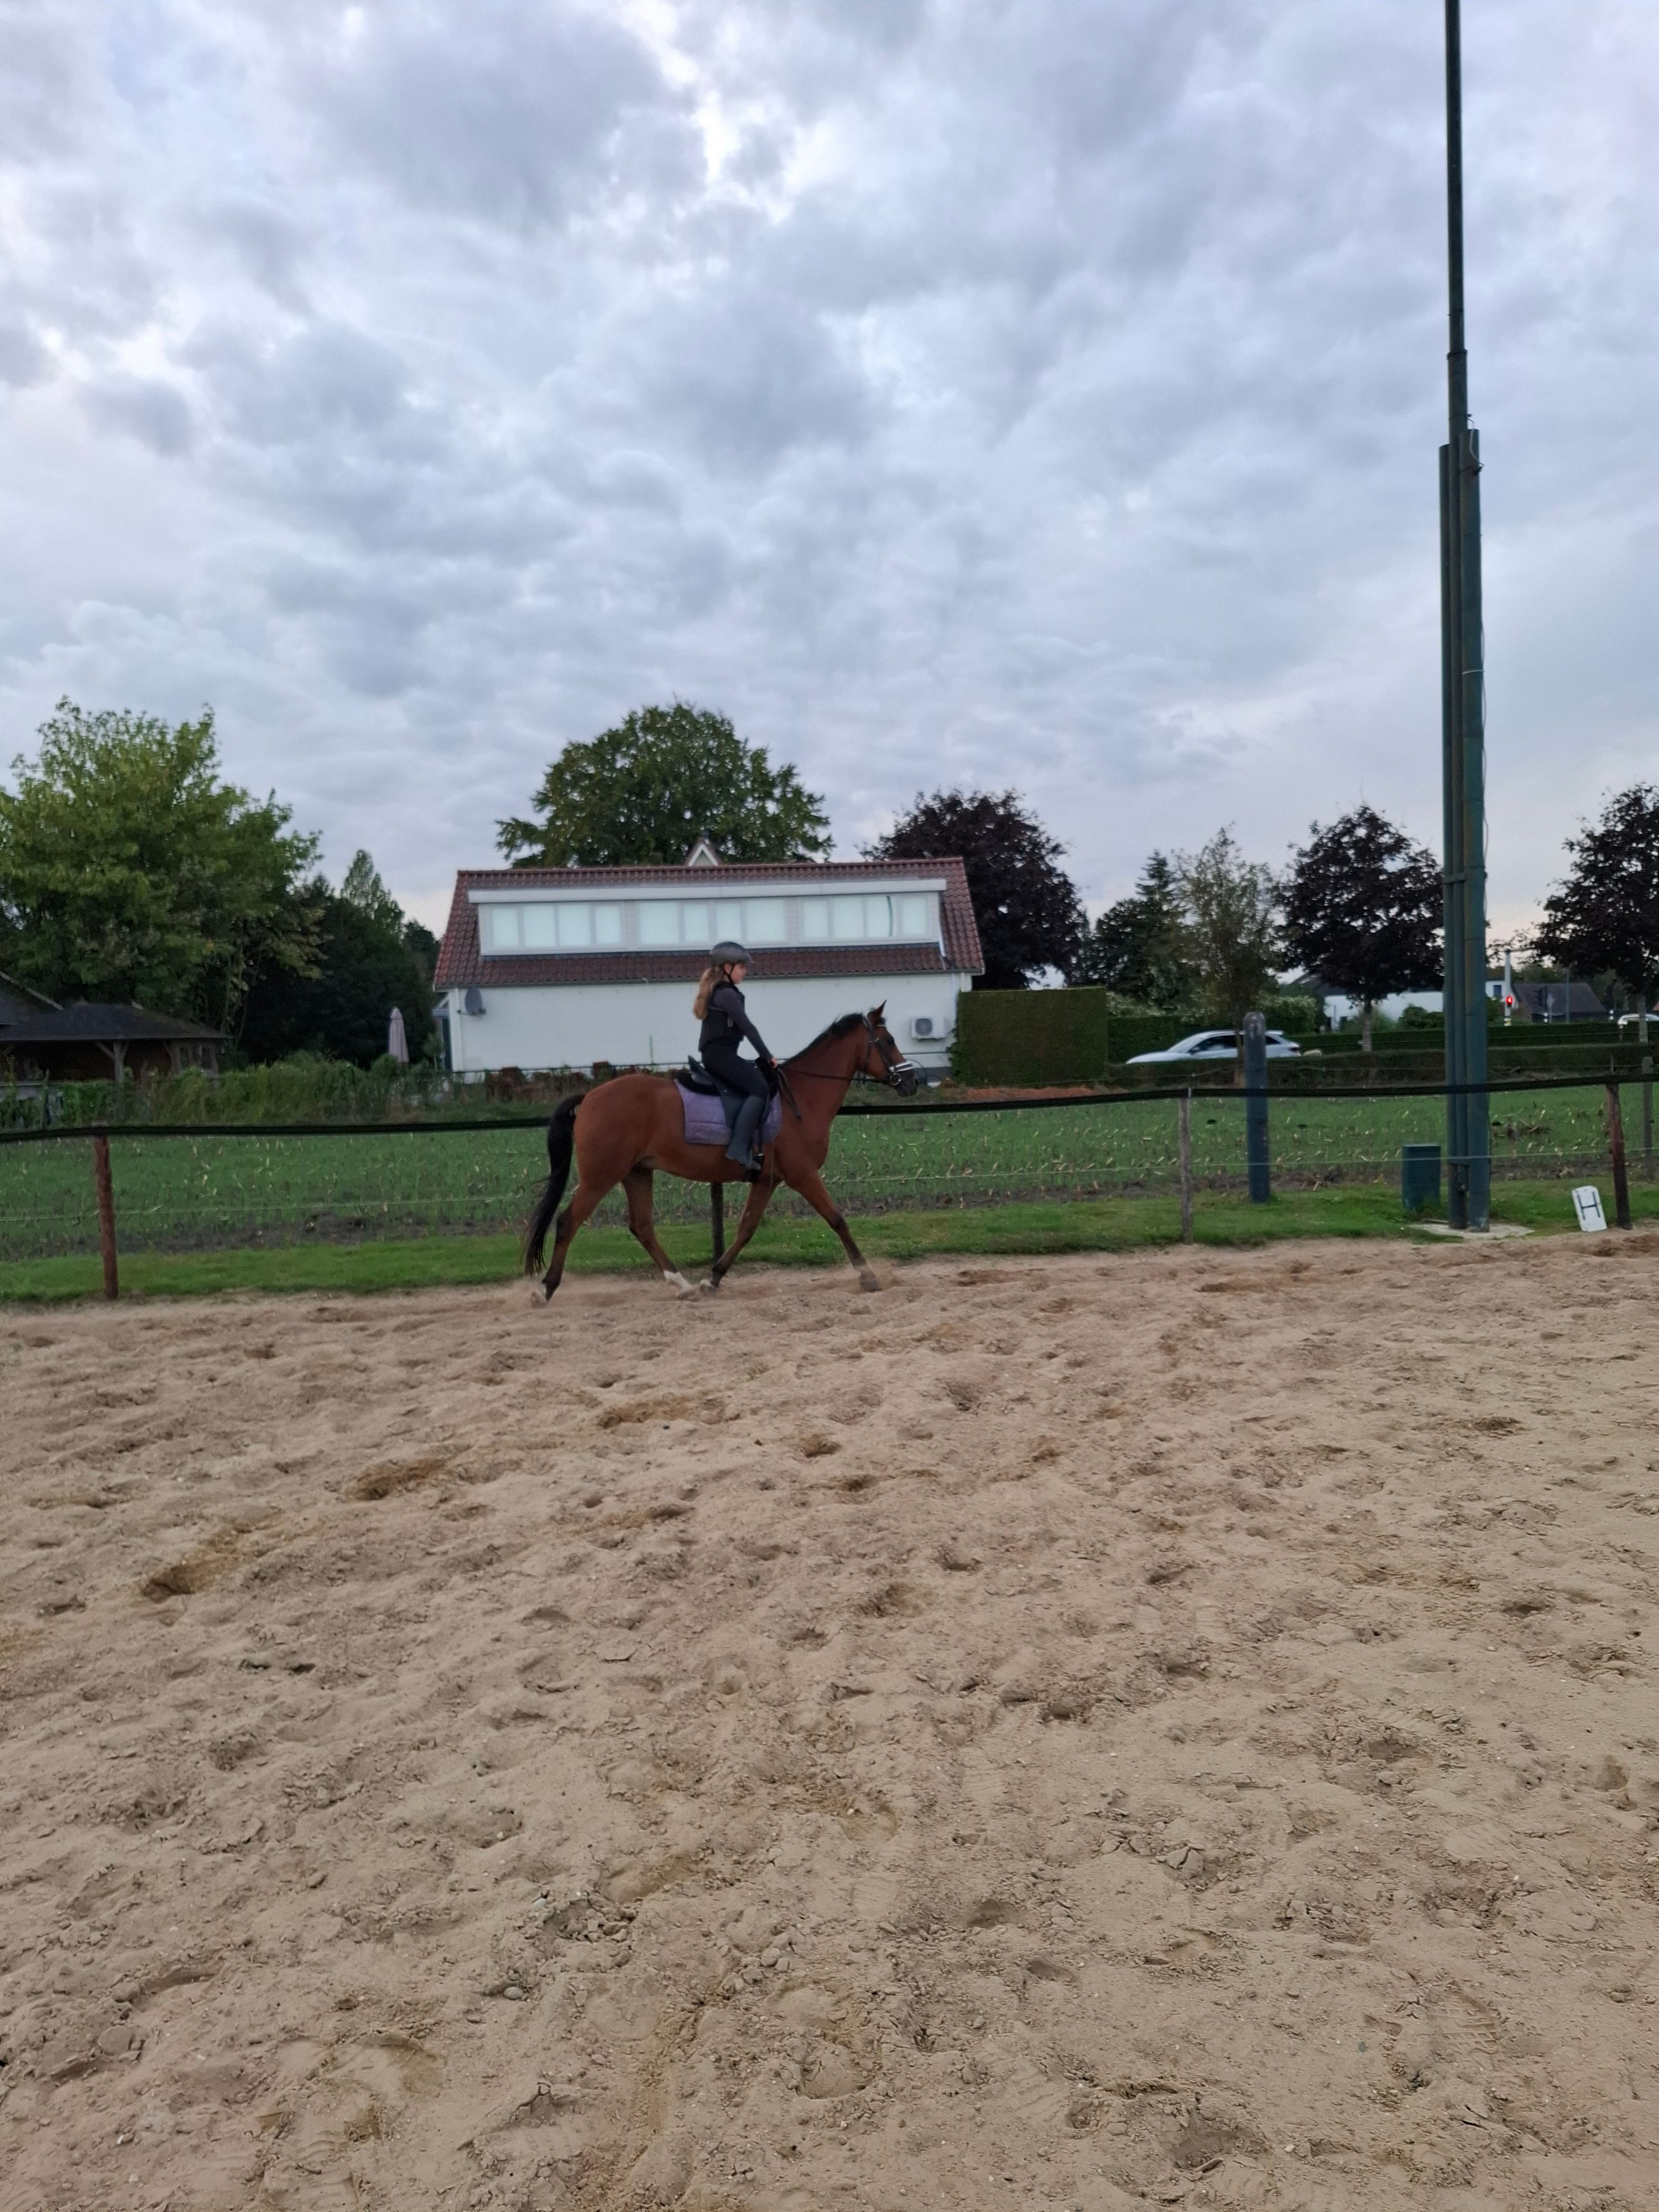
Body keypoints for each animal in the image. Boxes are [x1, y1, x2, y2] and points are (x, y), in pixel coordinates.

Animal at [523, 1005, 918, 1300]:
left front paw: (713, 1279)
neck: (803, 1096)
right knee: (568, 1221)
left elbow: (746, 1228)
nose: (913, 1081)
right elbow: (837, 1219)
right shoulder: (803, 1176)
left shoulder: (767, 1180)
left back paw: (681, 1284)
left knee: (642, 1226)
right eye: (888, 1040)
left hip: (637, 1172)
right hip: (602, 1176)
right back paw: (546, 1289)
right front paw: (868, 1276)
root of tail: (590, 1097)